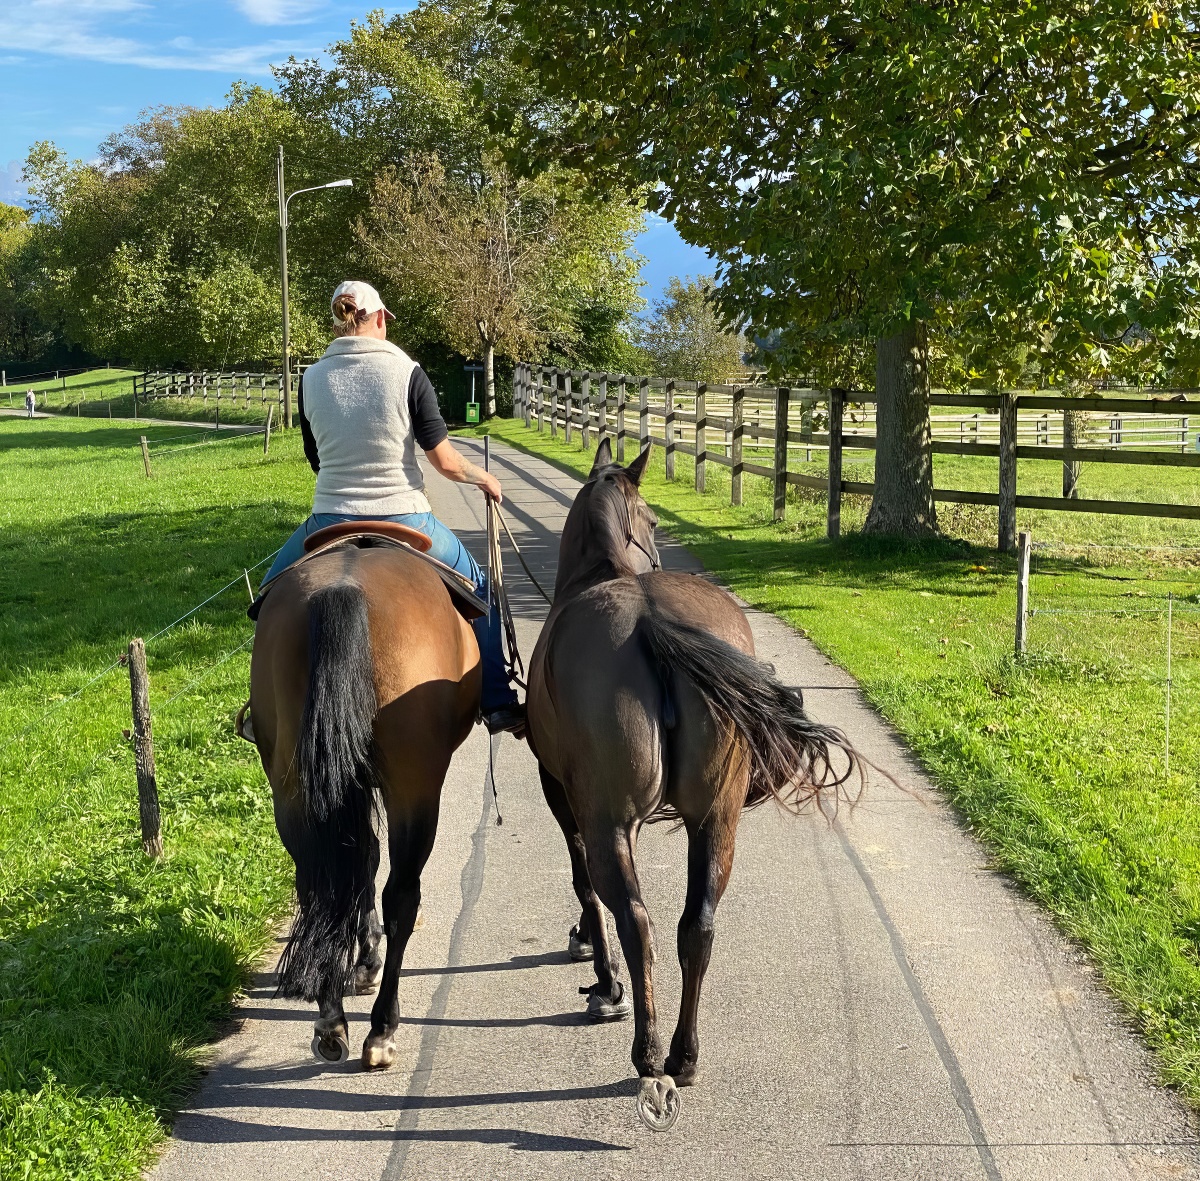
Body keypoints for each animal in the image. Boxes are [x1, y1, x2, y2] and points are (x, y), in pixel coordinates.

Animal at [246, 536, 479, 1068]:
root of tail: (343, 589)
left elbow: (359, 862)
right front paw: (369, 961)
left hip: (294, 791)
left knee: (320, 881)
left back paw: (331, 1020)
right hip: (415, 789)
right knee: (402, 897)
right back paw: (382, 1028)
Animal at [526, 437, 863, 1131]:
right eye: (654, 521)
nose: (656, 548)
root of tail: (652, 625)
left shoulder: (561, 795)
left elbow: (582, 883)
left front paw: (601, 974)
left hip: (610, 821)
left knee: (637, 921)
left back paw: (648, 1049)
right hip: (716, 818)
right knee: (697, 927)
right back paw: (683, 1054)